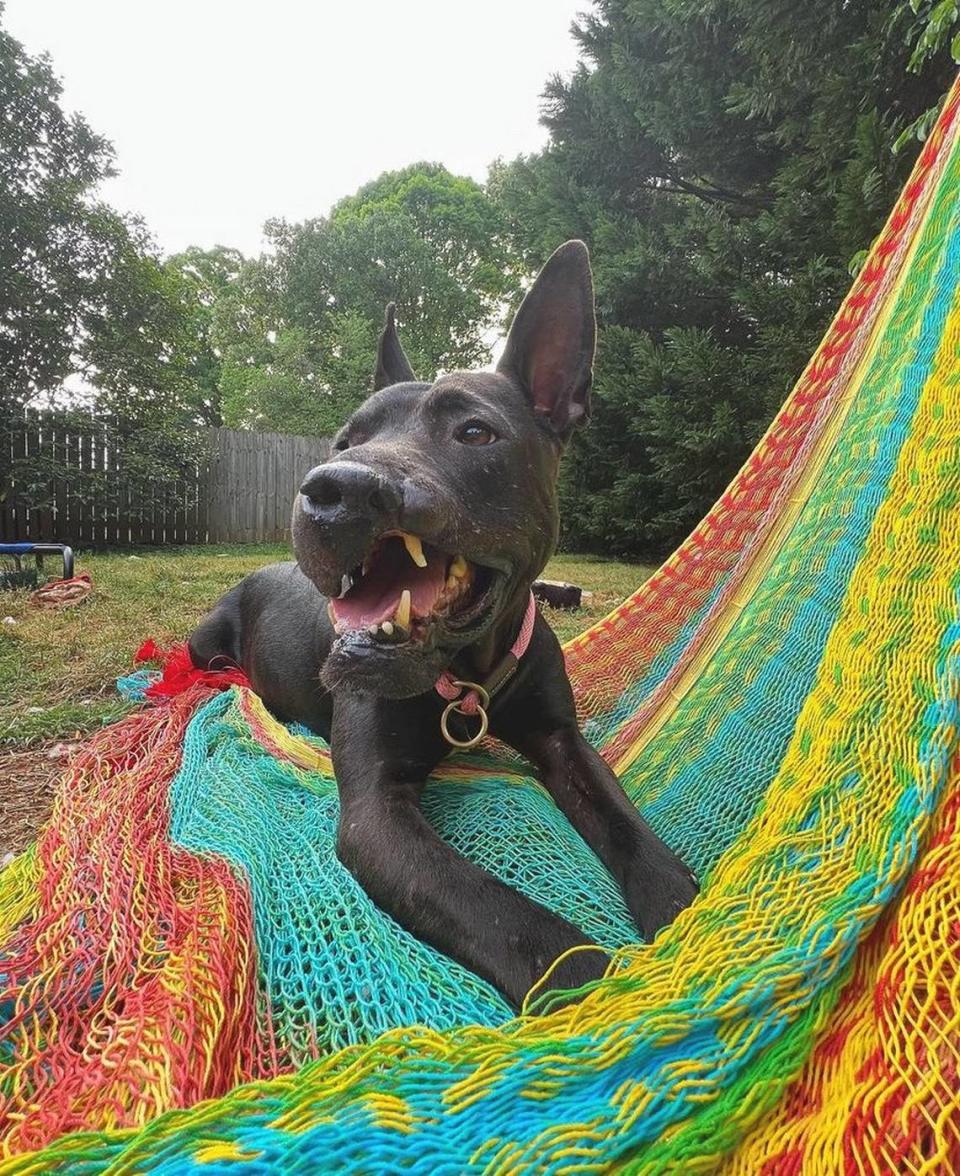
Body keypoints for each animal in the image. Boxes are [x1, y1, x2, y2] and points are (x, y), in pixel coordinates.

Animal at [189, 241, 696, 1011]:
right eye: (345, 438)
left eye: (475, 432)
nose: (334, 490)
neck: (469, 669)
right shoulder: (379, 816)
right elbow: (514, 922)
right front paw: (600, 991)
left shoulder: (563, 742)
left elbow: (629, 828)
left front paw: (690, 912)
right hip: (204, 637)